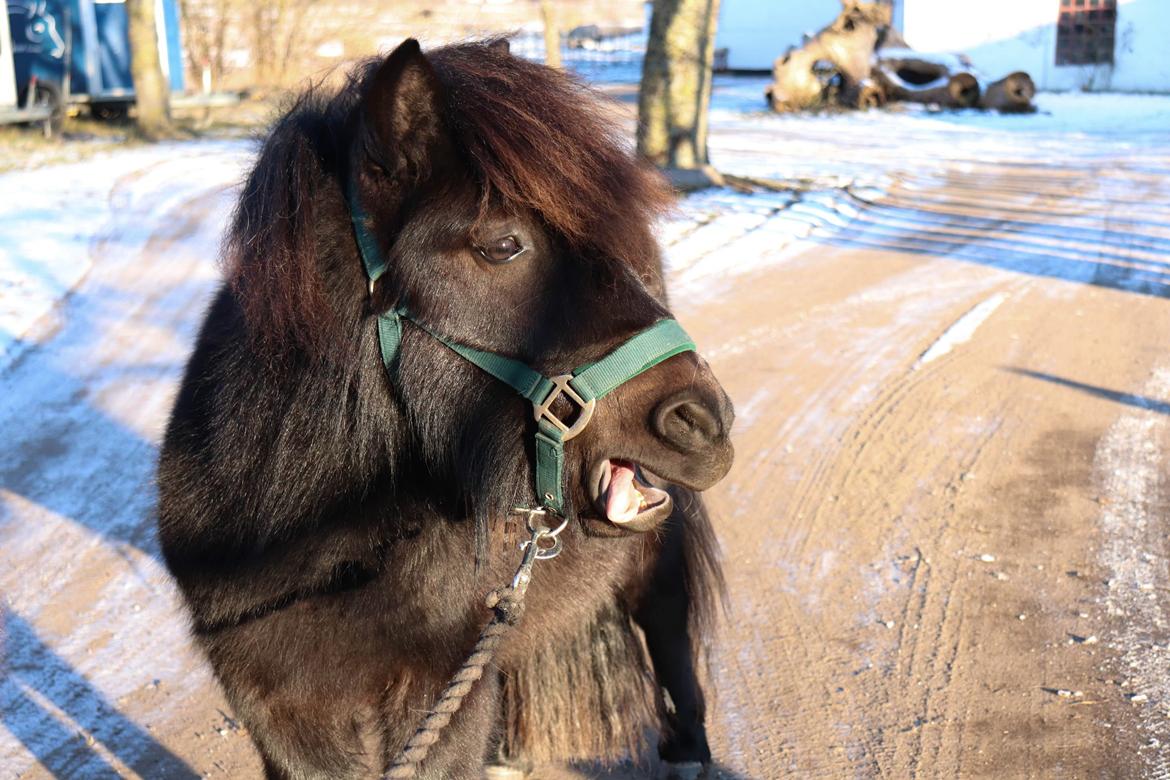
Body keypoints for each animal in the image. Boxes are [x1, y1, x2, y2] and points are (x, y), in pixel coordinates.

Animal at [157, 39, 730, 776]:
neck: (303, 542)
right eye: (501, 245)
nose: (708, 423)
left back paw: (689, 750)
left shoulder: (438, 692)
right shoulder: (276, 711)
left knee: (669, 635)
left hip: (650, 563)